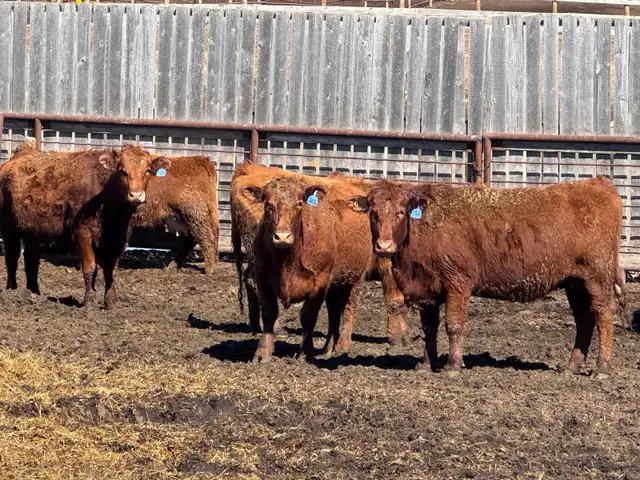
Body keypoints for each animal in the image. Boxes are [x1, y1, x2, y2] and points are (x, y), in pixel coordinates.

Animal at [0, 141, 170, 309]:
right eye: (122, 170)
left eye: (147, 170)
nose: (136, 195)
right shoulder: (82, 233)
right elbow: (90, 267)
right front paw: (89, 300)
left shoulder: (118, 239)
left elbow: (111, 269)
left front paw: (111, 301)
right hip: (9, 227)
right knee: (12, 256)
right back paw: (11, 290)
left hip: (33, 230)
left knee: (31, 258)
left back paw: (33, 292)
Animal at [231, 163, 409, 349]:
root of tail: (249, 167)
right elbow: (395, 299)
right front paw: (399, 337)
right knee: (254, 283)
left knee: (249, 280)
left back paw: (255, 325)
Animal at [349, 178, 624, 379]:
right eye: (373, 212)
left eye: (400, 212)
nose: (384, 246)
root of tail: (596, 184)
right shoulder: (427, 290)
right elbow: (429, 328)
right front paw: (426, 364)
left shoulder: (457, 283)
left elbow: (454, 325)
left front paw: (452, 366)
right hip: (575, 283)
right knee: (584, 319)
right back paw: (571, 367)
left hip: (597, 277)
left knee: (603, 315)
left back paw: (602, 369)